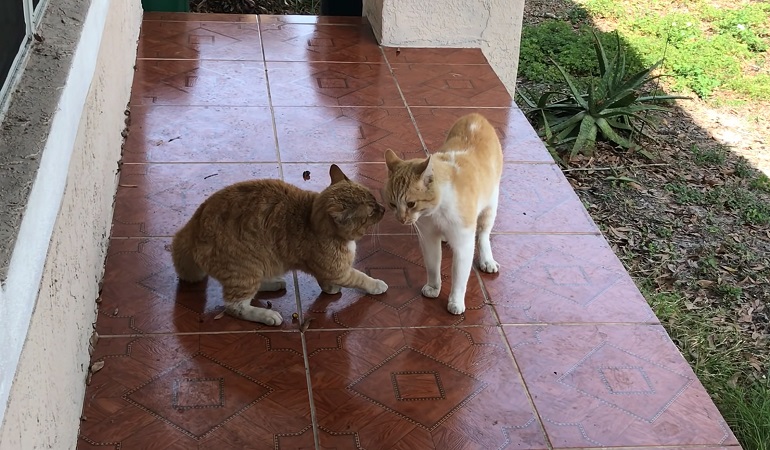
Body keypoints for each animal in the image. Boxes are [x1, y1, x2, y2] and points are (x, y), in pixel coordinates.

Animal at [172, 163, 388, 326]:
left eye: (374, 198)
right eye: (371, 212)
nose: (384, 208)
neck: (312, 218)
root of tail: (192, 224)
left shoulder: (327, 269)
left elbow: (325, 280)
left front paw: (330, 288)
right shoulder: (339, 271)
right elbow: (360, 278)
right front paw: (376, 284)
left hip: (254, 268)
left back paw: (274, 283)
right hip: (245, 270)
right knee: (234, 306)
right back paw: (267, 315)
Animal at [380, 112, 500, 314]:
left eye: (411, 204)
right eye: (392, 204)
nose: (401, 219)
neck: (435, 213)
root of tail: (475, 116)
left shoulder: (463, 244)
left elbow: (459, 277)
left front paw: (456, 302)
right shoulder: (428, 238)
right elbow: (432, 265)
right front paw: (433, 288)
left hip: (490, 205)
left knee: (483, 234)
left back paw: (487, 260)